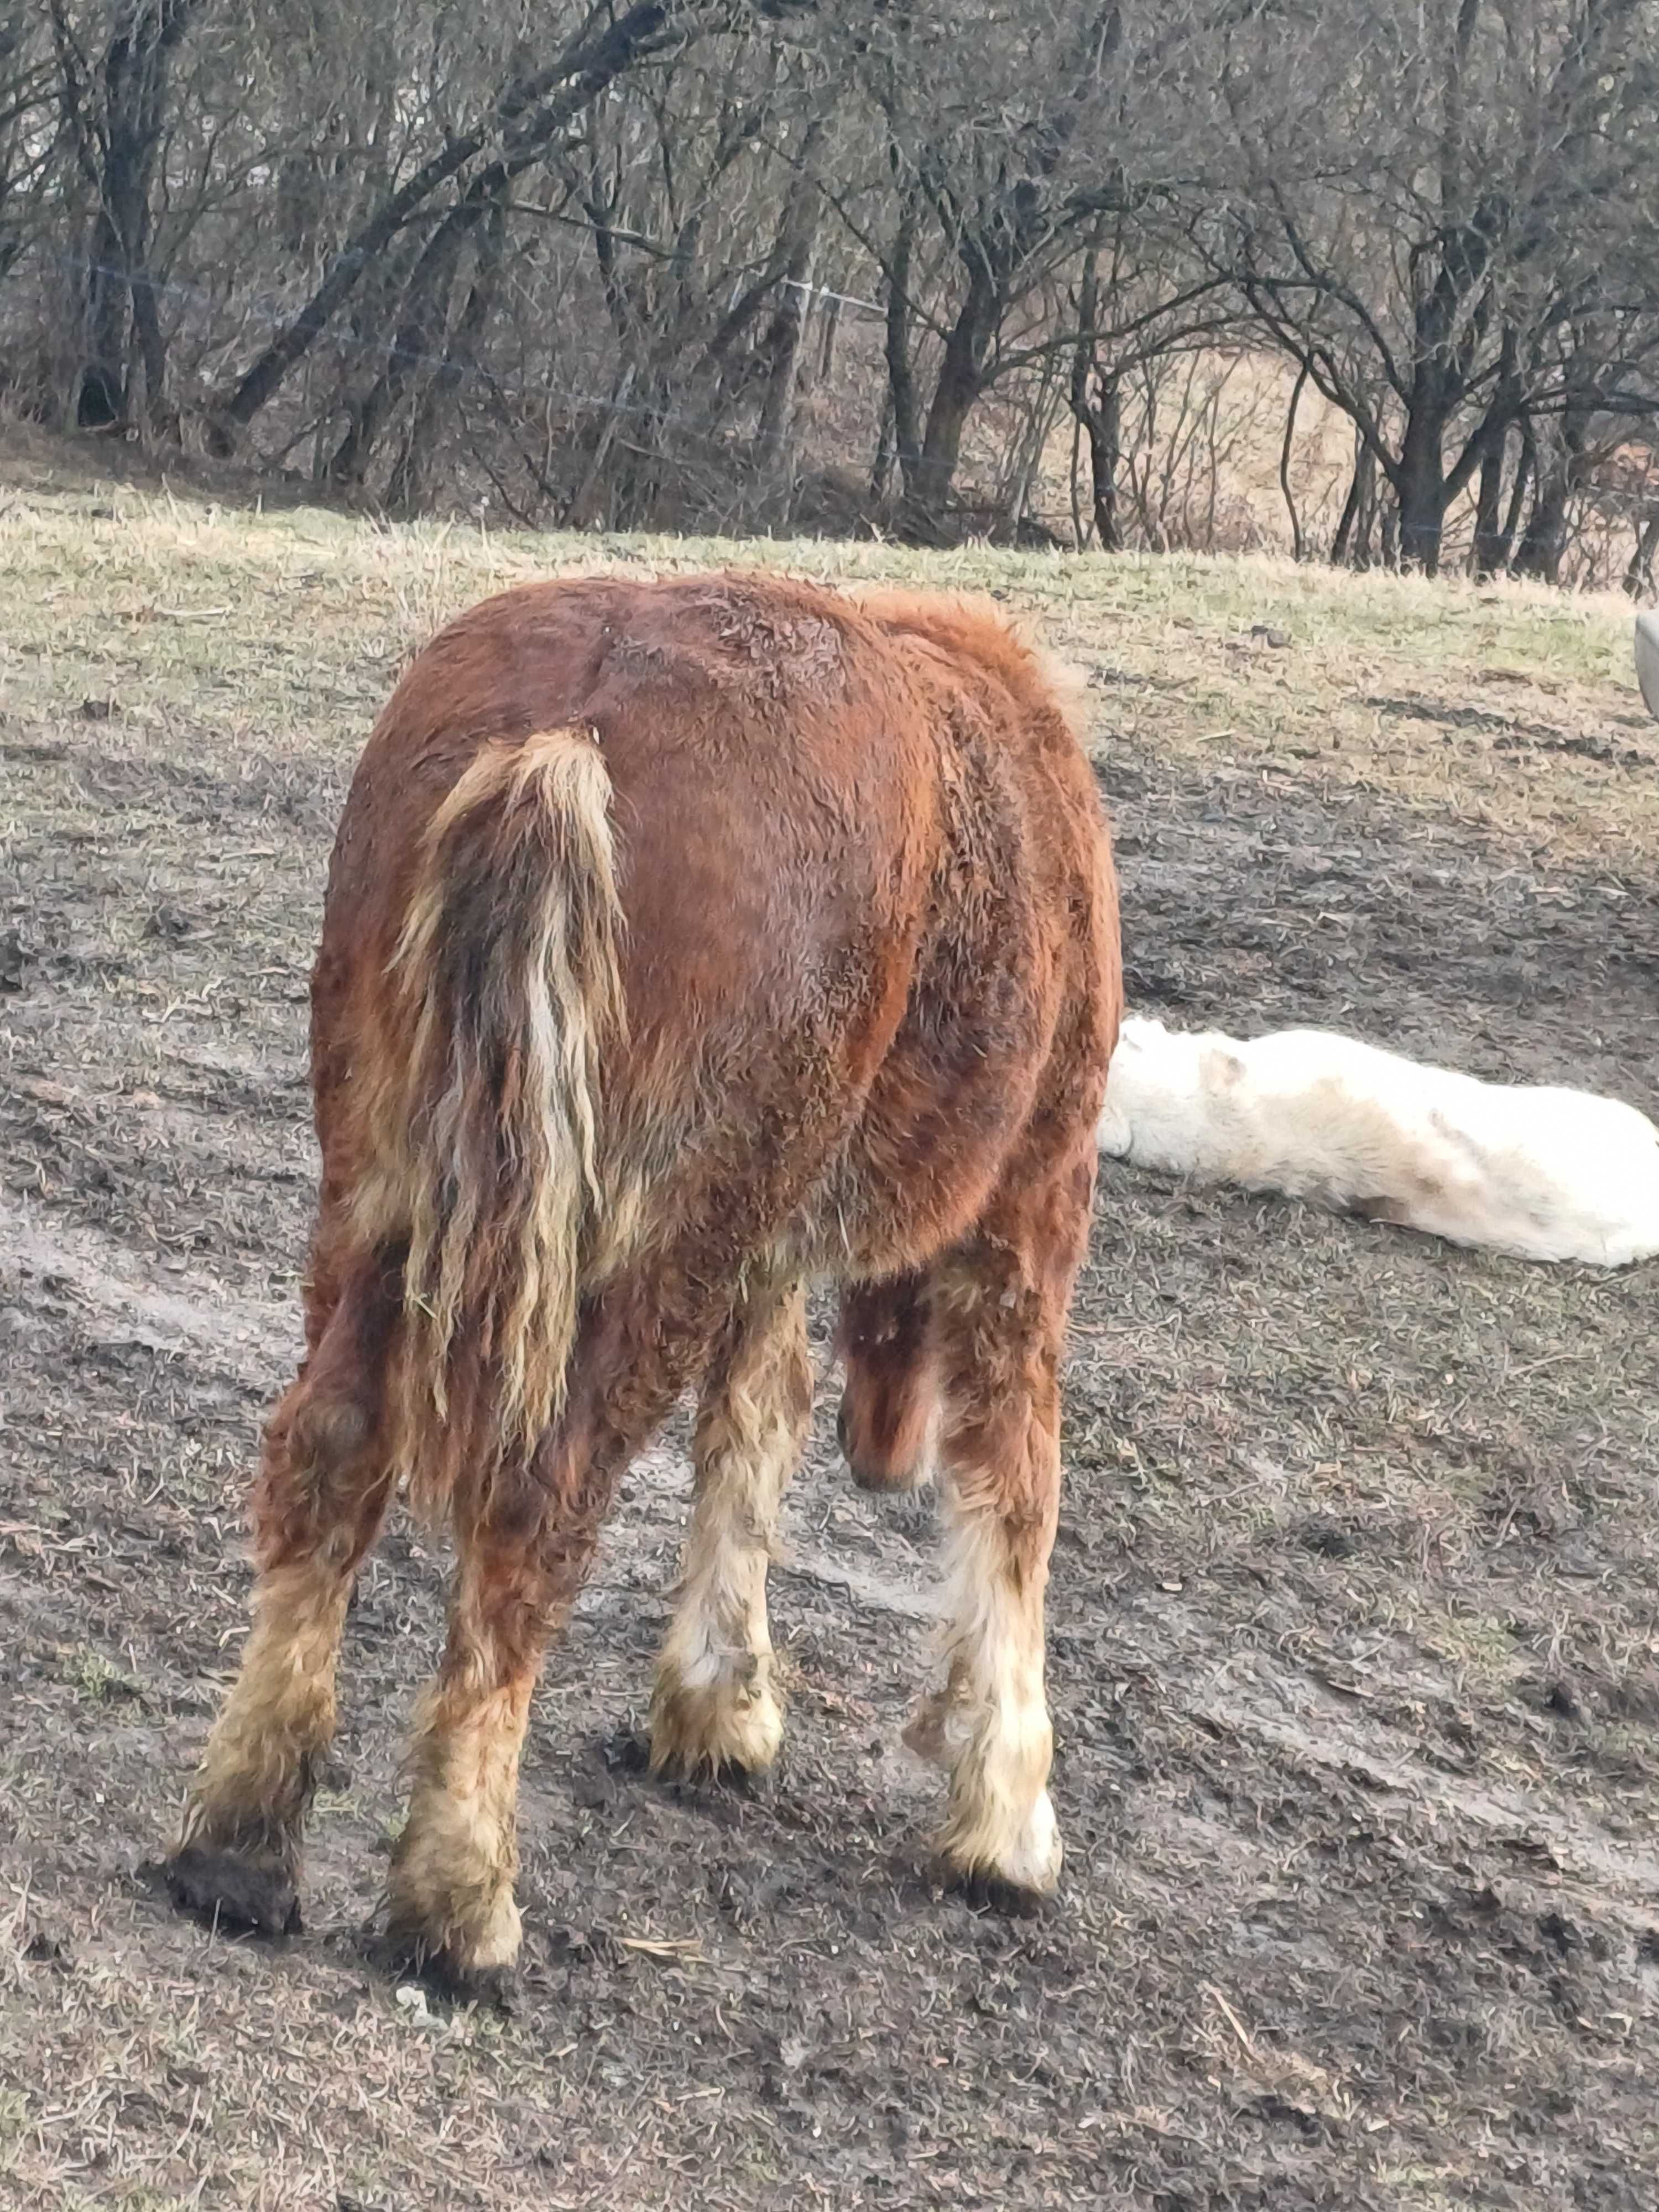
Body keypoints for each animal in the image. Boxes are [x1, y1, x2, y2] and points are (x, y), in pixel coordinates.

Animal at [169, 571, 1124, 1991]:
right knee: (533, 1503)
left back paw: (237, 1840)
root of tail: (569, 727)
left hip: (387, 1198)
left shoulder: (764, 1235)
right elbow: (1013, 1492)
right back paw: (458, 1898)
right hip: (648, 1250)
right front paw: (1004, 1821)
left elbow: (757, 1421)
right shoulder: (1029, 1204)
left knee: (330, 1447)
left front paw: (717, 1704)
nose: (884, 1452)